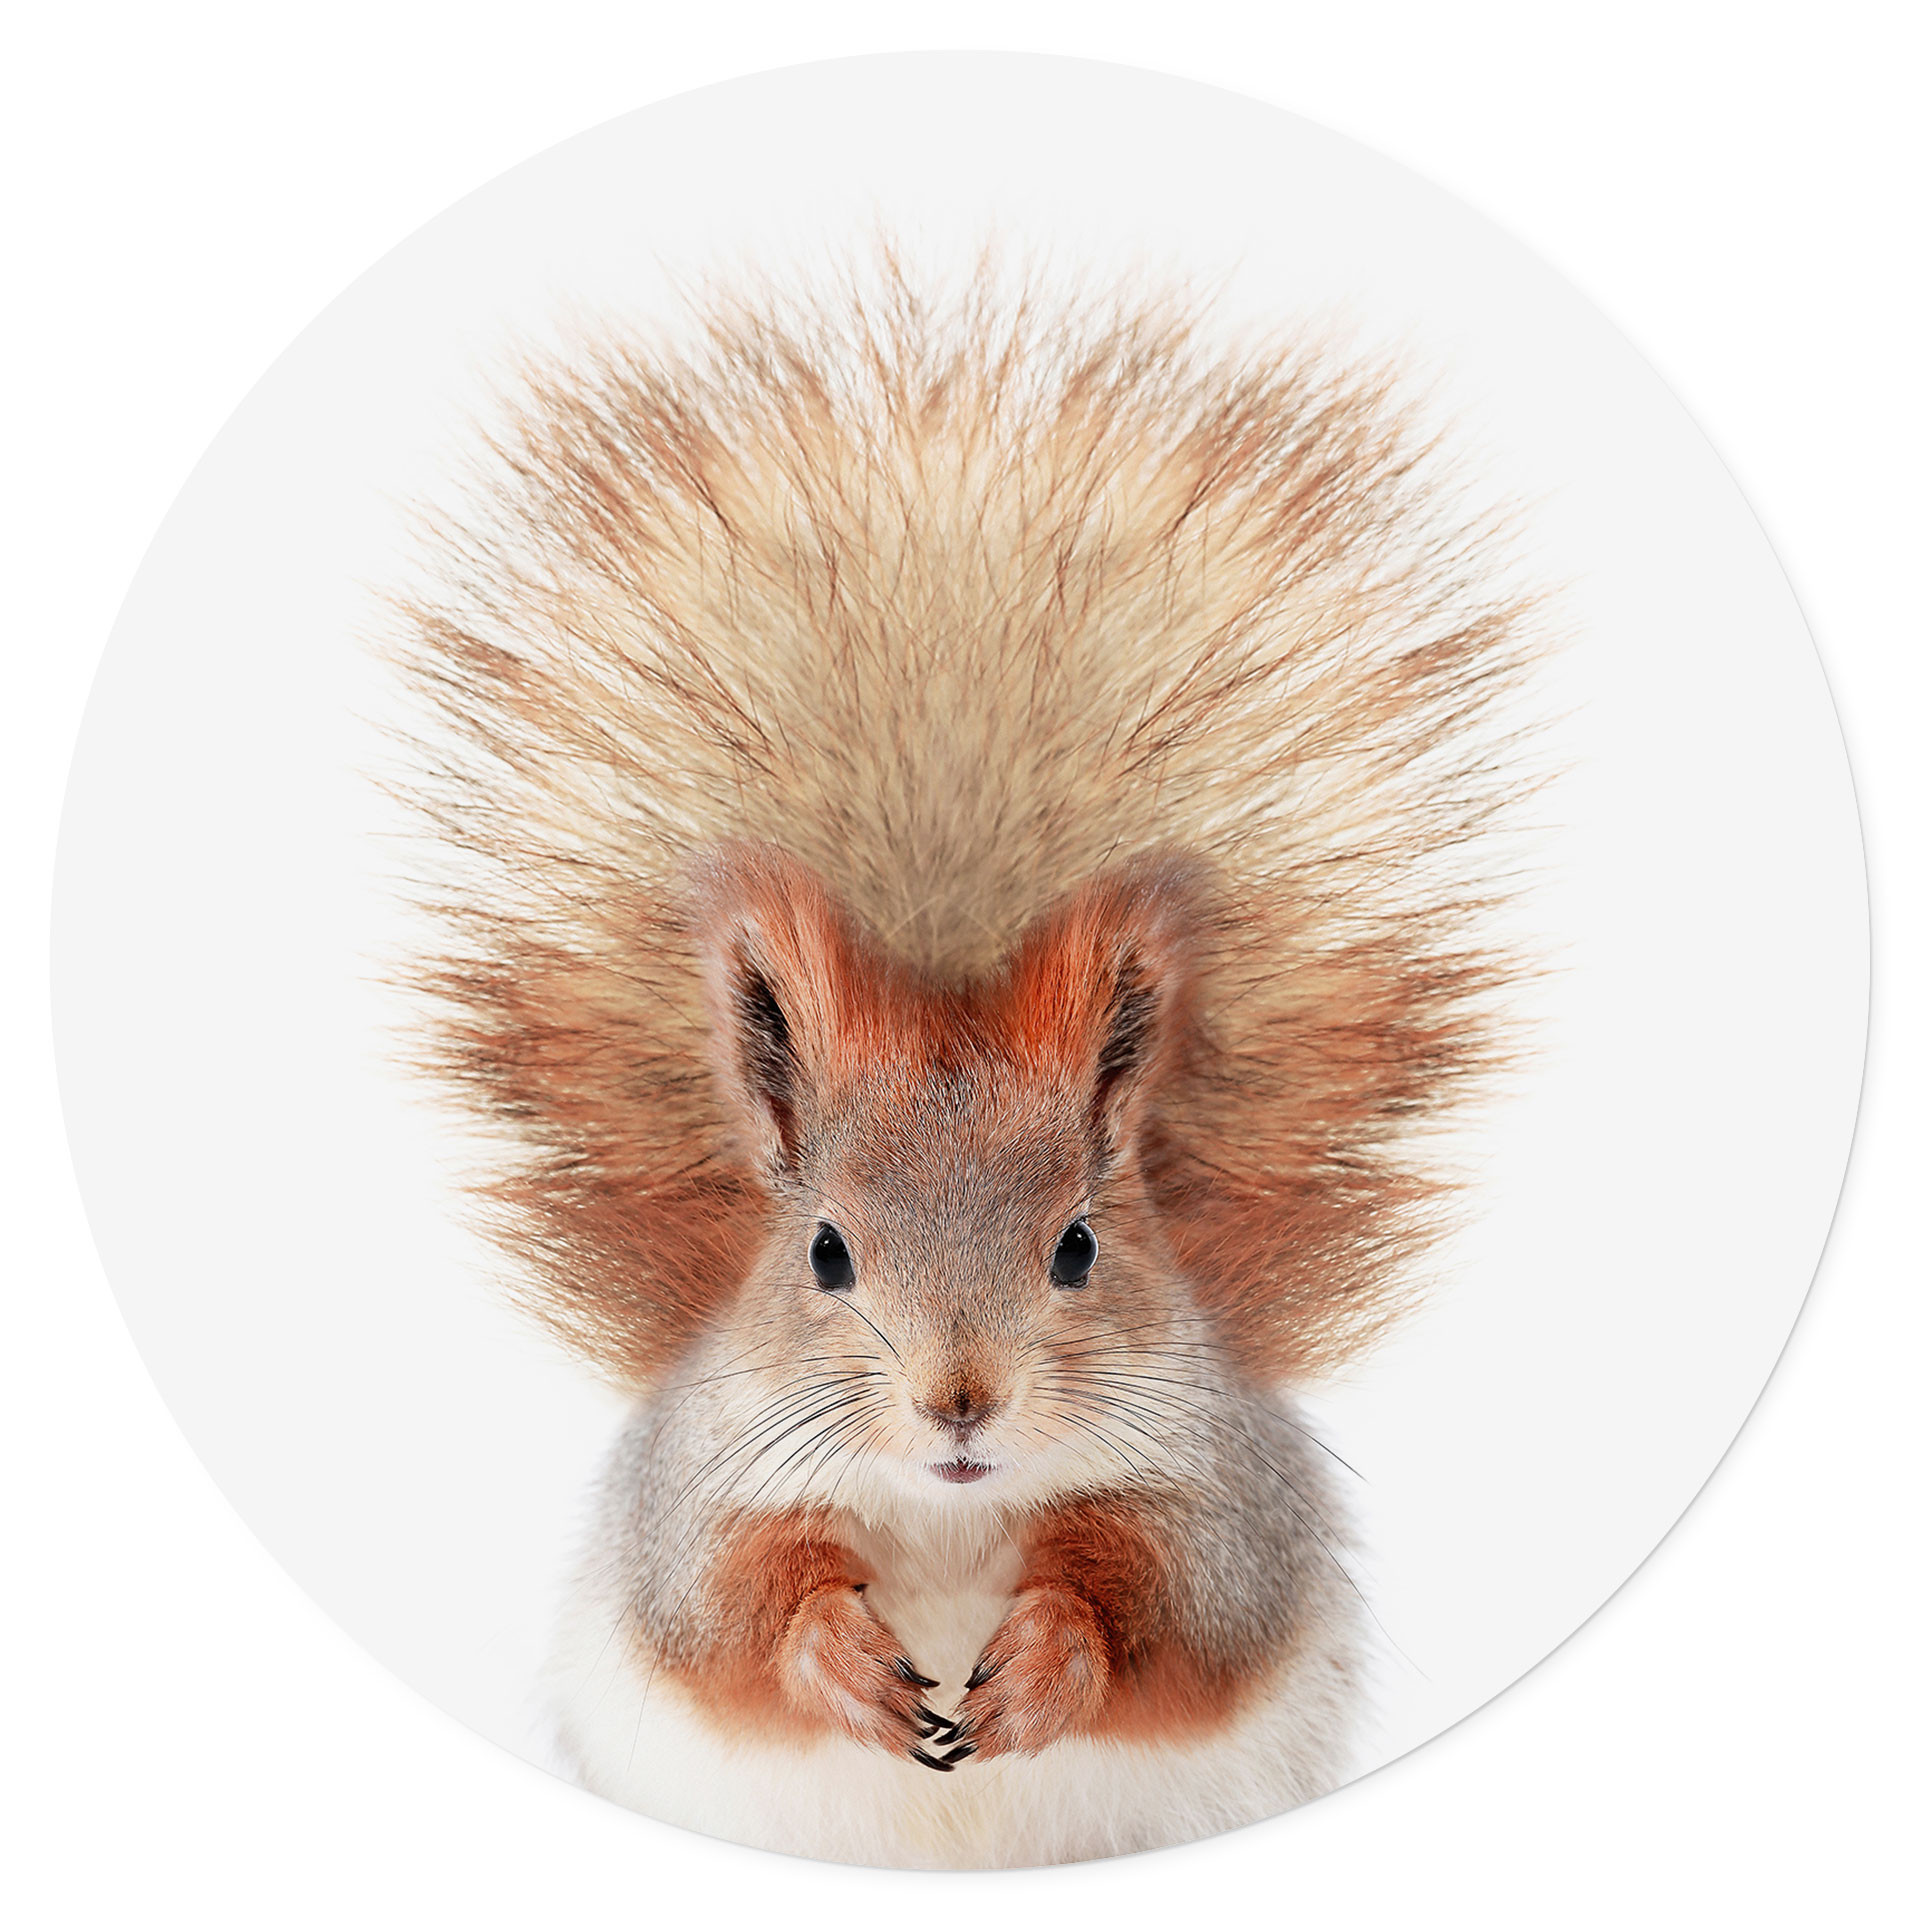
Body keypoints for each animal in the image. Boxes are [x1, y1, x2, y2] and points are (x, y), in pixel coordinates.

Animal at [389, 254, 1541, 1868]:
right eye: (821, 1253)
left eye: (1079, 1247)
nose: (959, 1402)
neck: (943, 1512)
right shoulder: (696, 1498)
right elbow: (728, 1614)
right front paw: (840, 1661)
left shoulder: (1220, 1503)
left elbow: (1173, 1610)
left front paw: (1047, 1661)